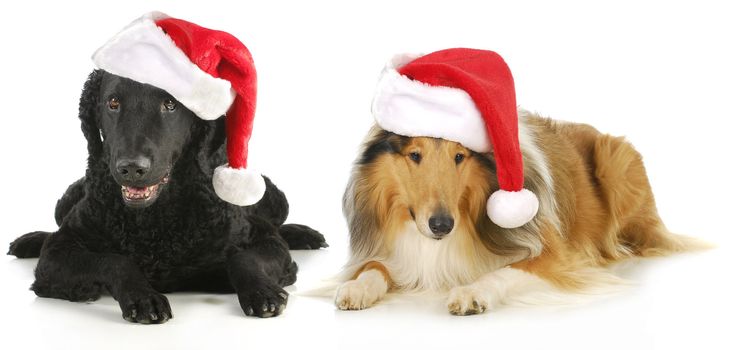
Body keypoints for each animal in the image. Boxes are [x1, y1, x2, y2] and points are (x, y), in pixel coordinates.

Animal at [7, 70, 326, 322]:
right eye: (113, 103)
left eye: (170, 104)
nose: (131, 168)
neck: (154, 223)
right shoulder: (57, 253)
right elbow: (112, 260)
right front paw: (143, 296)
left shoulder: (263, 238)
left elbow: (245, 258)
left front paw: (261, 291)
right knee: (52, 229)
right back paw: (29, 240)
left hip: (274, 197)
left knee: (279, 226)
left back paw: (305, 234)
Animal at [334, 111, 700, 314]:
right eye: (414, 155)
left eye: (460, 156)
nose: (441, 225)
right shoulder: (393, 250)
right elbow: (374, 267)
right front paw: (356, 288)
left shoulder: (554, 255)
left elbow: (505, 271)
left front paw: (472, 292)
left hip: (617, 160)